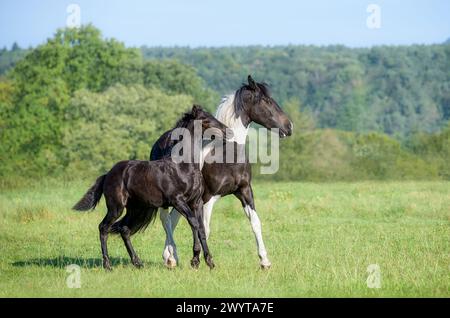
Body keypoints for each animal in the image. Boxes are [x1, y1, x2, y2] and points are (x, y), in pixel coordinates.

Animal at [74, 105, 230, 270]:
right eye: (205, 119)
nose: (228, 131)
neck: (182, 166)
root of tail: (107, 174)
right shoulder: (177, 201)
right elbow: (193, 223)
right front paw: (197, 261)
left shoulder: (196, 202)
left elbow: (201, 228)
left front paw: (207, 261)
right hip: (116, 207)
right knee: (103, 227)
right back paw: (108, 265)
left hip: (135, 208)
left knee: (124, 229)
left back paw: (137, 262)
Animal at [149, 76, 294, 268]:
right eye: (267, 101)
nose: (289, 127)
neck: (227, 153)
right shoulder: (207, 198)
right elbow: (203, 228)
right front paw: (201, 261)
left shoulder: (244, 191)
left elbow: (255, 222)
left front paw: (264, 261)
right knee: (166, 218)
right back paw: (170, 257)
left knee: (173, 219)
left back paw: (171, 257)